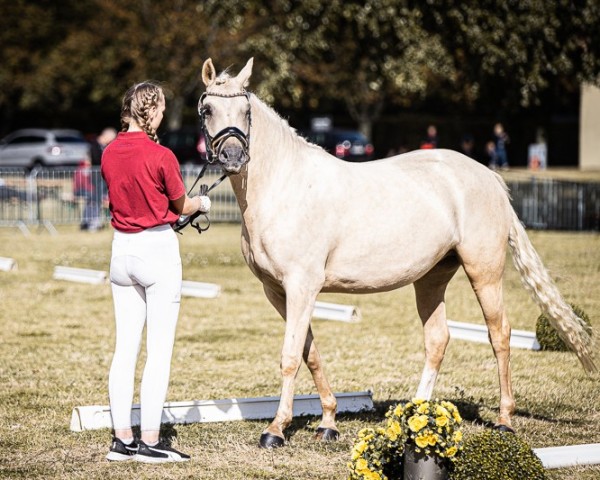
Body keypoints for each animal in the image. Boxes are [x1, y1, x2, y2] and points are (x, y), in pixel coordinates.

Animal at [198, 58, 596, 448]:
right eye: (207, 110)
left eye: (246, 110)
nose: (233, 156)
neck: (283, 187)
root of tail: (492, 179)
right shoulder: (279, 292)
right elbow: (310, 353)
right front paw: (328, 422)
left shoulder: (301, 287)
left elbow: (291, 356)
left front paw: (276, 430)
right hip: (432, 278)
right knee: (438, 339)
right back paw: (414, 418)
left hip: (484, 272)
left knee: (499, 334)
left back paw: (504, 420)